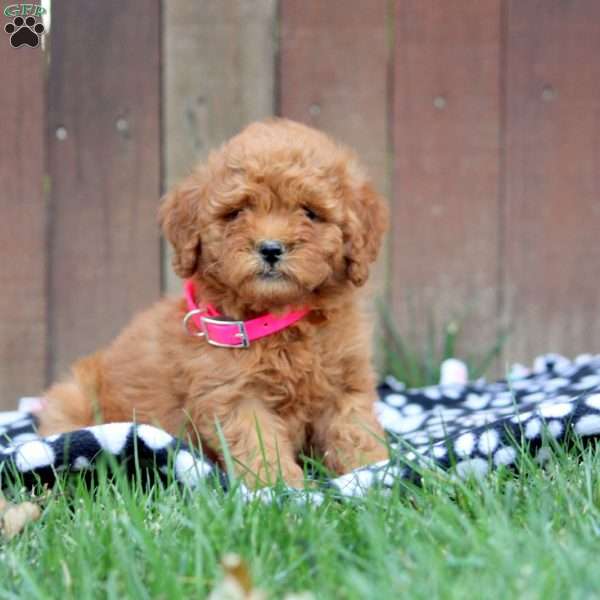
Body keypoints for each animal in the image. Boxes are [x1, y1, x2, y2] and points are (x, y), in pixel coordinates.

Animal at [39, 117, 392, 488]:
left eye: (310, 212)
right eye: (236, 213)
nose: (270, 248)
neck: (278, 320)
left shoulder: (345, 386)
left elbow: (356, 431)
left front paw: (376, 472)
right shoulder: (233, 397)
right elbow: (260, 445)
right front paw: (282, 487)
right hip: (72, 400)